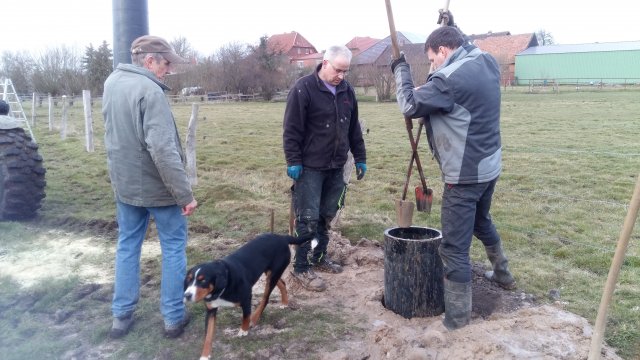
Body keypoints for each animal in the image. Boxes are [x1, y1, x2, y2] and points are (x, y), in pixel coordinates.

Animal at [182, 233, 312, 360]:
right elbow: (208, 335)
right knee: (282, 284)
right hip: (270, 273)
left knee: (265, 298)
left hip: (273, 274)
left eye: (203, 280)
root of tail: (282, 237)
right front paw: (205, 355)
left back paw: (254, 318)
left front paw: (243, 331)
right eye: (189, 280)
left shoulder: (246, 297)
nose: (187, 295)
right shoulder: (211, 310)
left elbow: (246, 316)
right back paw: (284, 302)